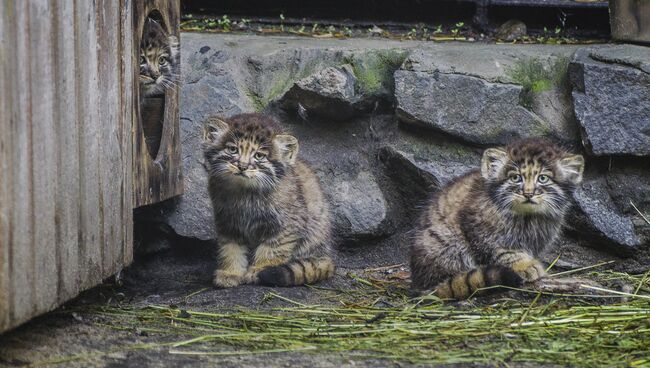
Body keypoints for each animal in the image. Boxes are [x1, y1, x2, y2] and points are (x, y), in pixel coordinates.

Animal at [202, 112, 334, 288]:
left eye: (259, 156)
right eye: (232, 149)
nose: (242, 166)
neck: (245, 192)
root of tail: (327, 255)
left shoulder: (286, 224)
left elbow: (272, 249)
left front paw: (260, 269)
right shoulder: (227, 222)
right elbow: (230, 249)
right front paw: (231, 272)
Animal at [412, 138, 584, 300]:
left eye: (543, 178)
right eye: (516, 178)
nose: (528, 194)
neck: (527, 217)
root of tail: (417, 281)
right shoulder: (478, 229)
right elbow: (503, 252)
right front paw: (525, 266)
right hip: (447, 242)